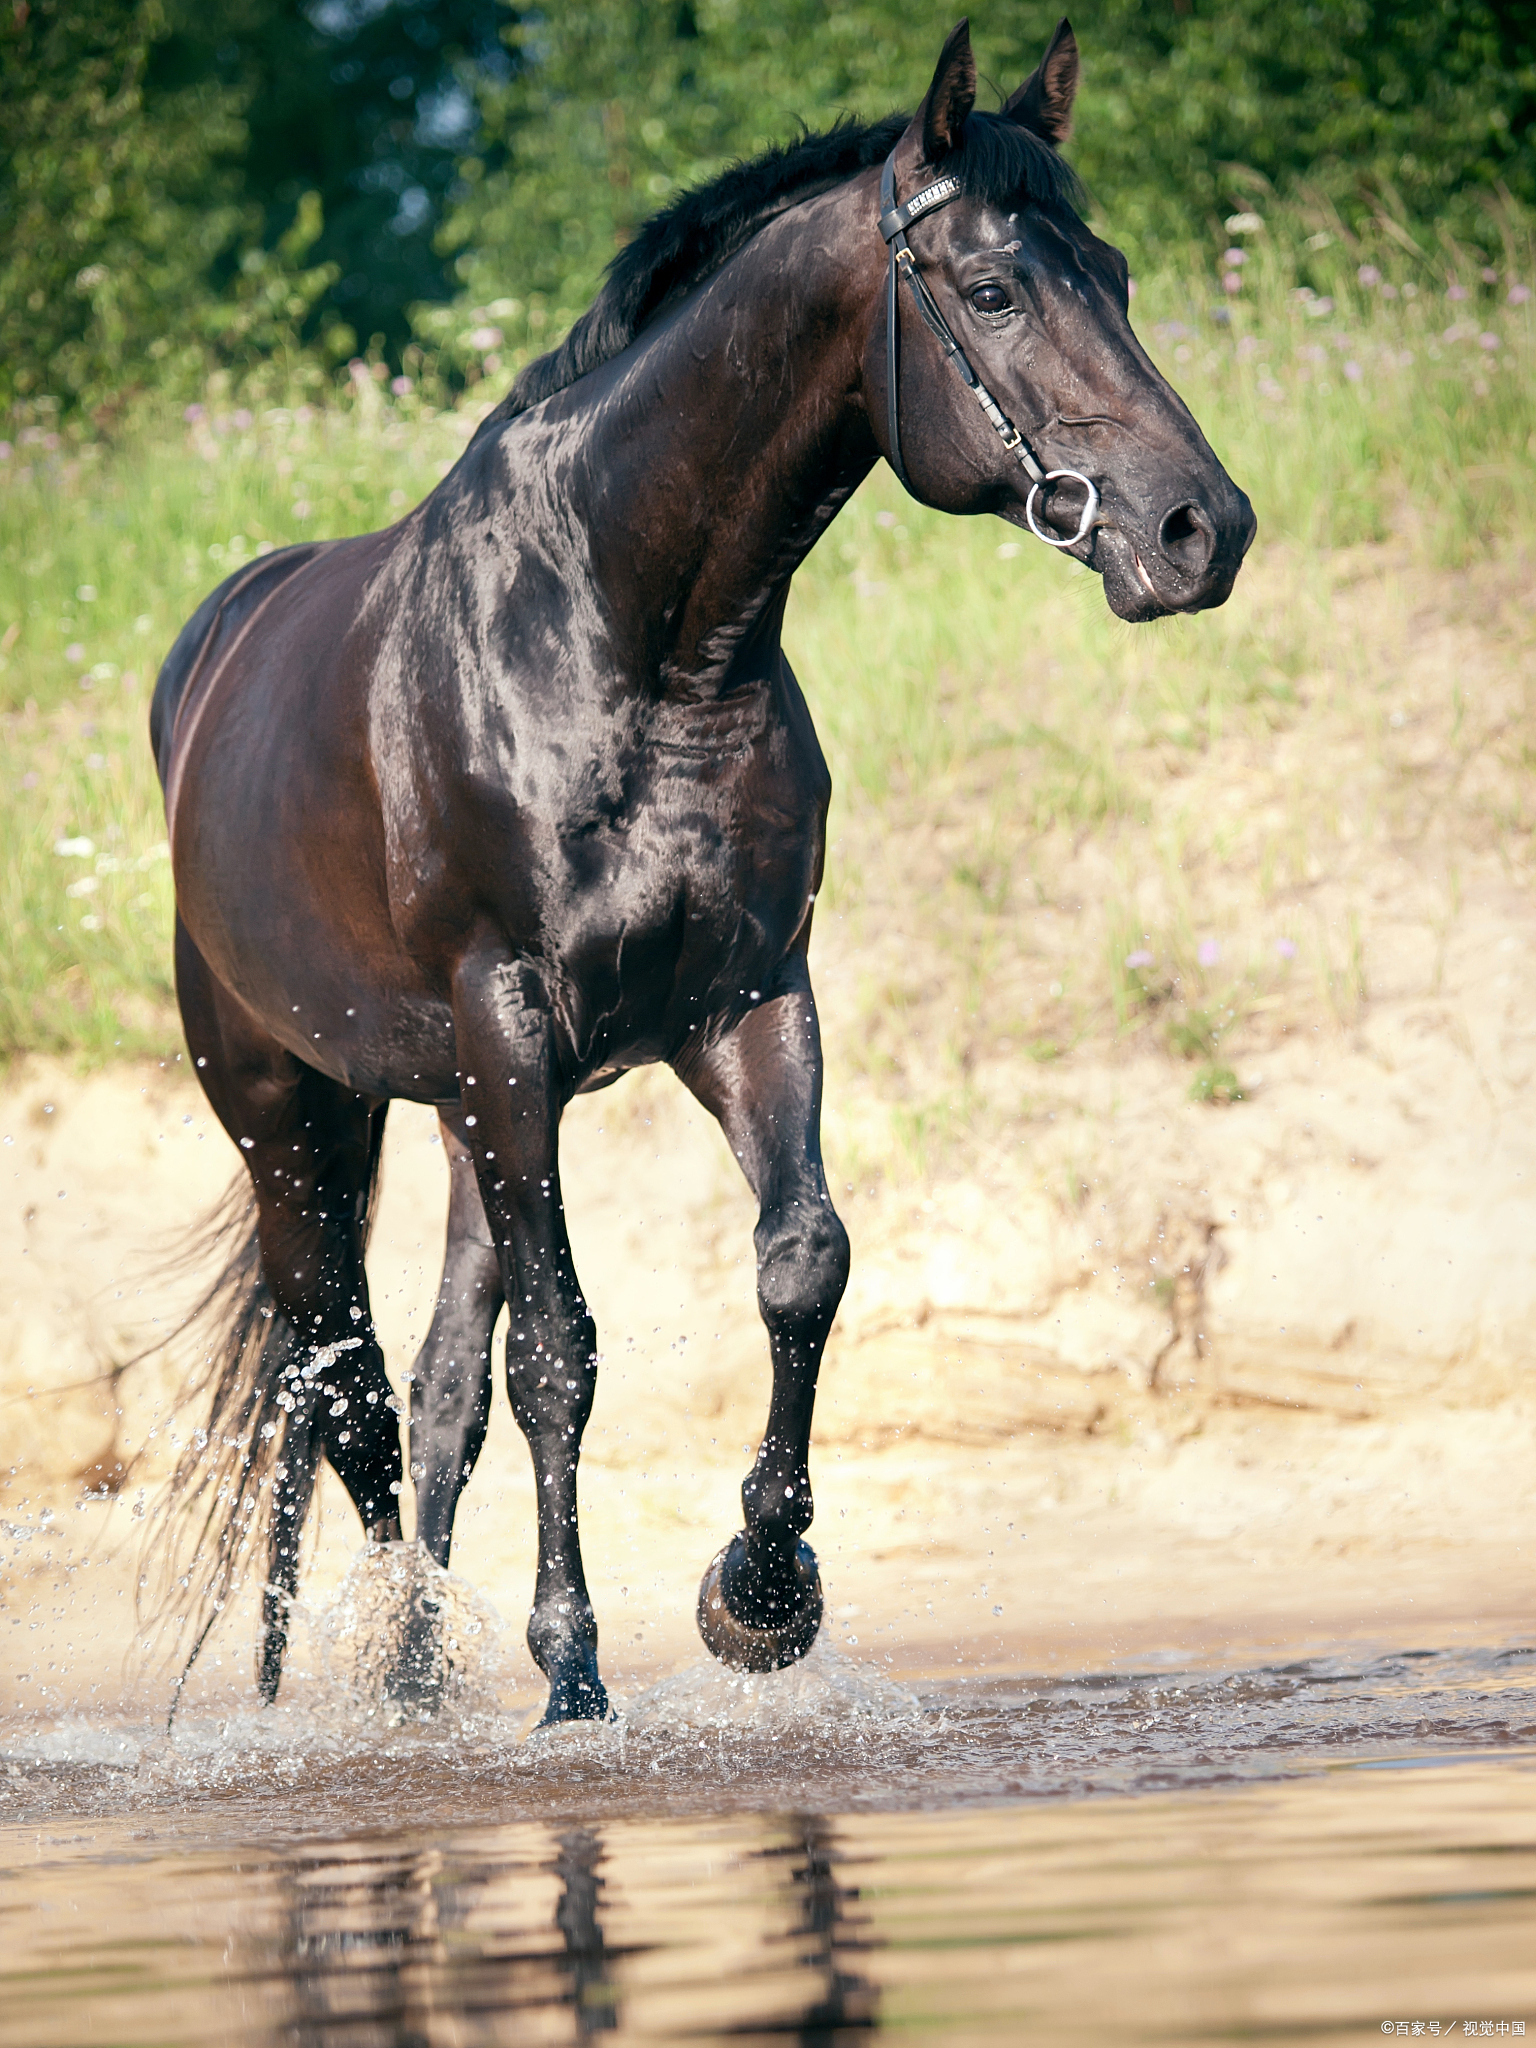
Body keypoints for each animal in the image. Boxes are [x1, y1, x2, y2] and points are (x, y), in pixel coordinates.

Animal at [148, 17, 1254, 1726]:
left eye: (1120, 276)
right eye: (994, 288)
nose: (1202, 530)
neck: (634, 631)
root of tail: (204, 668)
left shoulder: (743, 1002)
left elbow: (801, 1263)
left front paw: (762, 1593)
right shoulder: (514, 1019)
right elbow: (562, 1351)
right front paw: (574, 1672)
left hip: (459, 1116)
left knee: (433, 1388)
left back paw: (419, 1675)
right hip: (296, 1124)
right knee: (351, 1399)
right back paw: (409, 1674)